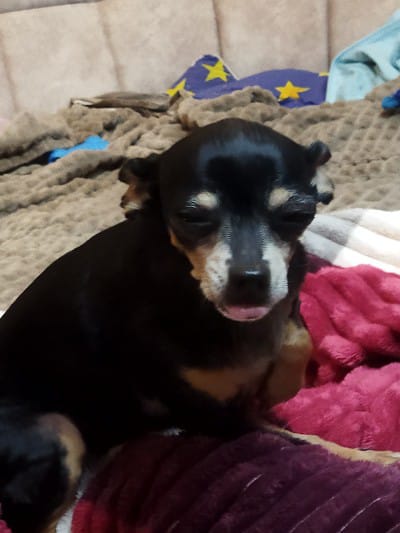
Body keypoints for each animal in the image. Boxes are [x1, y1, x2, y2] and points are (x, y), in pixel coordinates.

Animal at [0, 118, 397, 533]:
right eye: (191, 218)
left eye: (297, 213)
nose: (250, 278)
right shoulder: (218, 418)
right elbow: (301, 441)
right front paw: (374, 459)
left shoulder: (288, 294)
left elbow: (296, 336)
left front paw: (279, 381)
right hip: (57, 433)